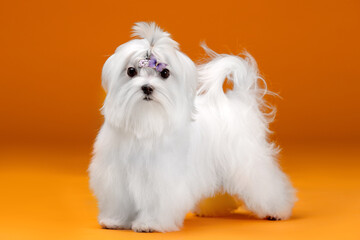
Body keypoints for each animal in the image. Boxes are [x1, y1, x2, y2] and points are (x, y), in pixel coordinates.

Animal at [88, 22, 296, 232]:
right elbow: (119, 201)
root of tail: (240, 100)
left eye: (165, 73)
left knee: (267, 184)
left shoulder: (161, 177)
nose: (147, 87)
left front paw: (149, 223)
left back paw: (277, 211)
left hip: (248, 162)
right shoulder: (115, 176)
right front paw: (114, 220)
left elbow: (156, 202)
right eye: (131, 71)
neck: (146, 122)